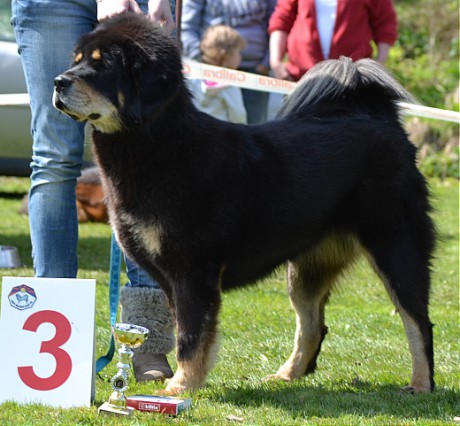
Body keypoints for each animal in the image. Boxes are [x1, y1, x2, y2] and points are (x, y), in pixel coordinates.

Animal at [53, 11, 434, 394]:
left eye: (103, 65)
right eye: (77, 60)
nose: (57, 82)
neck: (159, 142)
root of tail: (381, 119)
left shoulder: (193, 272)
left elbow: (191, 337)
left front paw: (179, 389)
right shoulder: (172, 279)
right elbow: (187, 332)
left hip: (396, 248)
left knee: (418, 321)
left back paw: (421, 384)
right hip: (307, 269)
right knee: (313, 325)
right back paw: (286, 375)